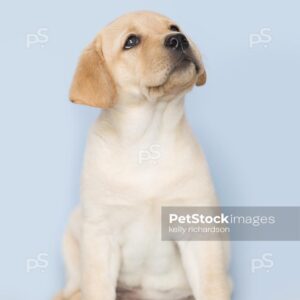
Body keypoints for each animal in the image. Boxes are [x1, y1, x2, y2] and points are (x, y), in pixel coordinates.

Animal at [54, 11, 232, 300]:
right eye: (131, 41)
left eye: (174, 27)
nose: (178, 39)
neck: (148, 140)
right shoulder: (100, 236)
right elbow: (97, 288)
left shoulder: (198, 230)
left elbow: (211, 287)